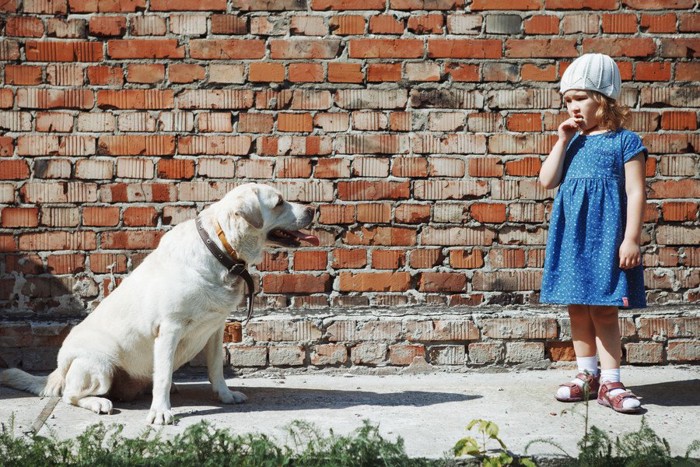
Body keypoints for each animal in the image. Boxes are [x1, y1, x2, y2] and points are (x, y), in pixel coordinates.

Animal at [0, 183, 318, 424]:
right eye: (279, 202)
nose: (313, 209)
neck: (220, 249)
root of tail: (58, 369)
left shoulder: (215, 330)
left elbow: (216, 368)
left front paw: (225, 396)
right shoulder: (169, 329)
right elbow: (163, 375)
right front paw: (161, 413)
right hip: (99, 366)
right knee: (70, 394)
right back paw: (99, 403)